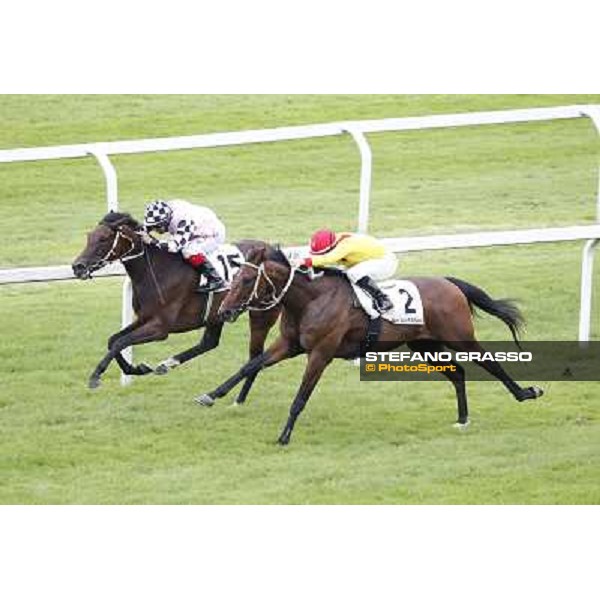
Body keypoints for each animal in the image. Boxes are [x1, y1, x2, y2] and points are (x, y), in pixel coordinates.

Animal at [71, 212, 282, 394]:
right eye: (89, 236)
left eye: (104, 238)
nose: (77, 267)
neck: (158, 270)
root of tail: (275, 250)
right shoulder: (144, 319)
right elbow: (113, 340)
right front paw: (137, 368)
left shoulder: (160, 328)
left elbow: (121, 342)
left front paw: (96, 376)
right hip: (217, 314)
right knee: (209, 343)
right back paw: (167, 364)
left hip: (261, 313)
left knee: (254, 353)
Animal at [199, 244, 548, 446]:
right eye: (236, 277)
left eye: (247, 280)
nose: (224, 311)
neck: (310, 300)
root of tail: (450, 283)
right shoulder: (289, 344)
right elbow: (250, 365)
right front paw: (211, 395)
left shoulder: (321, 353)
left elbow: (301, 396)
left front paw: (284, 436)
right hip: (425, 345)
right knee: (458, 373)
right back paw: (462, 419)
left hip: (460, 337)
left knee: (492, 363)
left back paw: (526, 393)